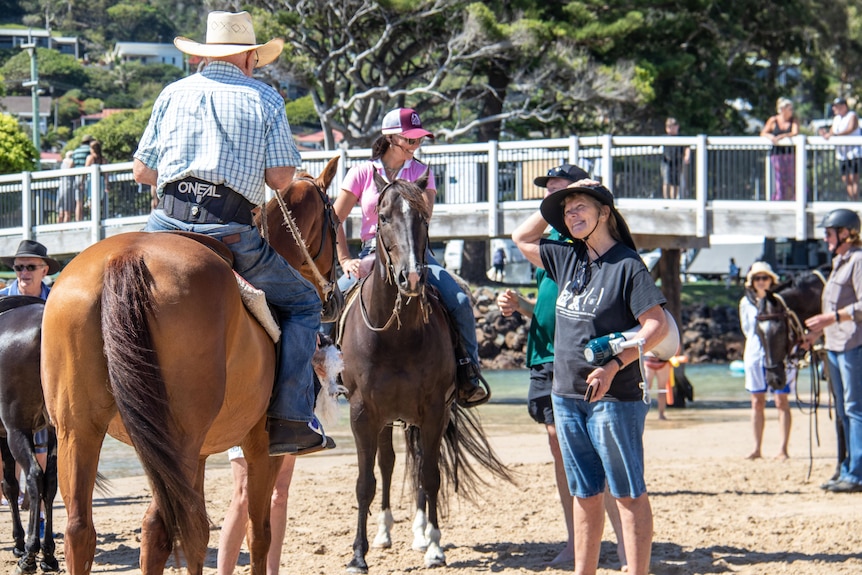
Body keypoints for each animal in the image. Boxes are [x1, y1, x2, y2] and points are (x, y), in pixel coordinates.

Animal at [40, 158, 340, 575]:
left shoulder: (198, 453)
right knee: (163, 525)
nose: (335, 296)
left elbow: (198, 534)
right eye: (337, 222)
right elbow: (258, 533)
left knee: (83, 530)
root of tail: (124, 258)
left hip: (81, 431)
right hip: (175, 439)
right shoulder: (261, 447)